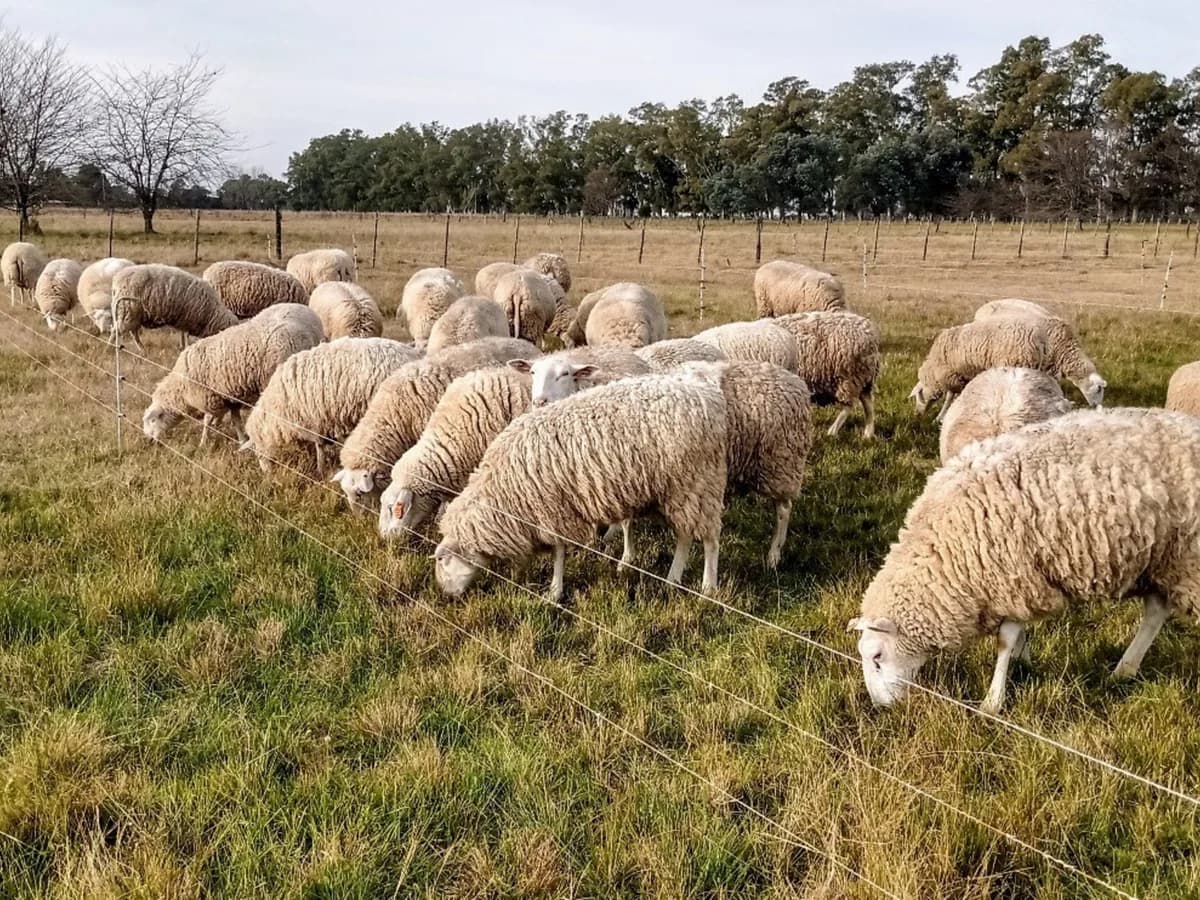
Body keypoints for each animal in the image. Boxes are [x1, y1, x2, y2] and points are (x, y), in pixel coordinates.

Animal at [142, 304, 324, 446]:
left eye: (152, 420)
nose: (149, 441)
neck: (182, 387)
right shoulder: (230, 396)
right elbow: (235, 419)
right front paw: (241, 439)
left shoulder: (210, 396)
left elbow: (208, 420)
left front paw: (204, 441)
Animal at [242, 338, 419, 473]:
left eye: (258, 453)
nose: (267, 475)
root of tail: (412, 355)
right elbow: (320, 445)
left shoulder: (313, 420)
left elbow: (319, 446)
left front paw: (320, 470)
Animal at [432, 369, 729, 601]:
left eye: (442, 560)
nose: (447, 596)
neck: (501, 493)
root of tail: (708, 395)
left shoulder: (553, 510)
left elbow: (559, 552)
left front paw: (554, 591)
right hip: (679, 490)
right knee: (685, 534)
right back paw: (673, 579)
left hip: (700, 481)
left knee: (710, 539)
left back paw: (708, 588)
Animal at [850, 408, 1200, 714]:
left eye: (877, 656)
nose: (879, 707)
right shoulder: (1015, 580)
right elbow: (1016, 639)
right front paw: (1024, 663)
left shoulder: (1014, 576)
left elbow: (1005, 641)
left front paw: (993, 702)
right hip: (1164, 559)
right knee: (1155, 611)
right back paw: (1124, 670)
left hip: (1188, 559)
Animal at [910, 317, 1049, 421]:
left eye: (917, 396)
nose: (917, 414)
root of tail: (1041, 342)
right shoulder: (963, 375)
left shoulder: (951, 375)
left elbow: (949, 397)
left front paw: (940, 417)